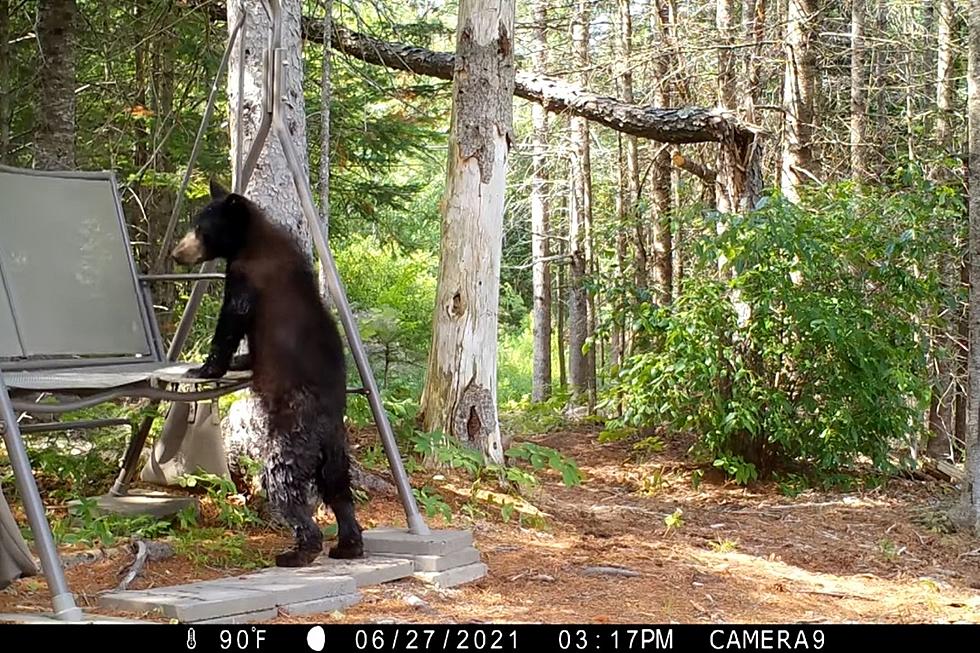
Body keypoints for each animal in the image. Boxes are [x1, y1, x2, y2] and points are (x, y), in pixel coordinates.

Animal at [170, 178, 366, 564]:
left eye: (201, 228)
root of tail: (326, 424)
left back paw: (300, 550)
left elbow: (230, 322)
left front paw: (205, 367)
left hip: (292, 435)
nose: (176, 253)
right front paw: (238, 362)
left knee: (283, 481)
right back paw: (348, 544)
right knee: (338, 486)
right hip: (336, 448)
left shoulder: (247, 276)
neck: (251, 240)